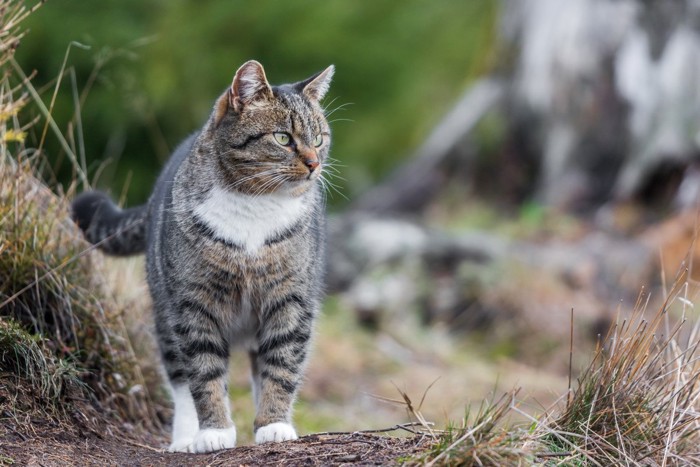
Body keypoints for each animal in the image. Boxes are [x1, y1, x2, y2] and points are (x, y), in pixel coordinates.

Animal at [72, 60, 334, 456]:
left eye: (319, 138)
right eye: (283, 138)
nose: (314, 163)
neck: (255, 207)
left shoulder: (291, 299)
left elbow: (282, 364)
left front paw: (273, 424)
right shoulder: (193, 304)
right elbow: (204, 372)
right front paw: (214, 432)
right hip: (164, 312)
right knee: (179, 379)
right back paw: (185, 438)